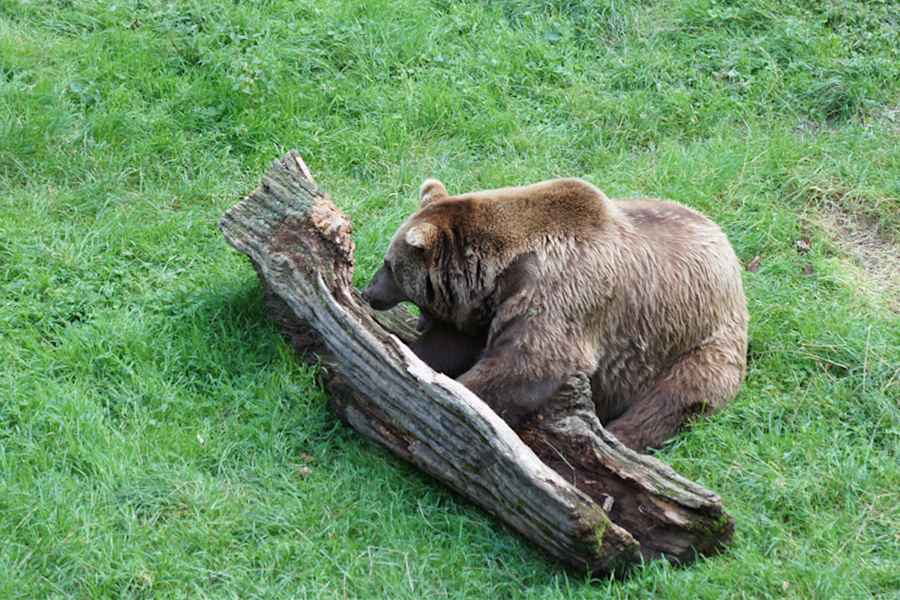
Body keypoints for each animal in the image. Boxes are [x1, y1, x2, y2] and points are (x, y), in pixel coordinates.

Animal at [362, 177, 749, 452]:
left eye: (388, 264)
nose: (368, 292)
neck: (502, 273)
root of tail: (732, 260)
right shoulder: (486, 308)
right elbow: (448, 344)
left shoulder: (560, 294)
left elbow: (529, 362)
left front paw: (459, 395)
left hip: (696, 343)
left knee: (673, 399)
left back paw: (620, 436)